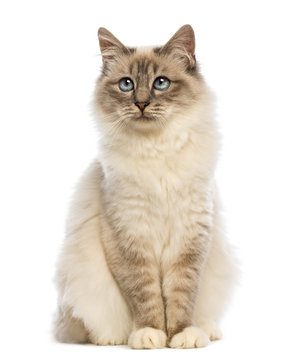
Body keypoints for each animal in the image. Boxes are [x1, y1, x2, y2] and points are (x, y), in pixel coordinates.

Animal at [53, 24, 237, 348]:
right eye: (126, 84)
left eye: (160, 83)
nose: (141, 103)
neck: (156, 148)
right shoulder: (129, 235)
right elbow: (145, 295)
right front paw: (150, 334)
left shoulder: (190, 237)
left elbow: (181, 296)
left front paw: (181, 335)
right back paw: (110, 339)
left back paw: (207, 330)